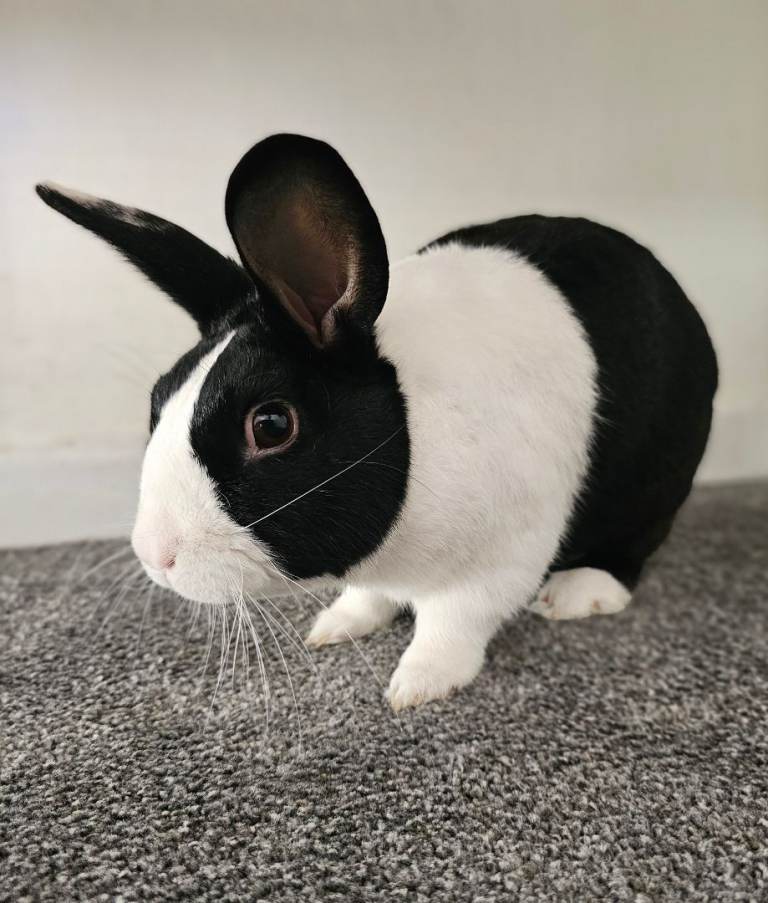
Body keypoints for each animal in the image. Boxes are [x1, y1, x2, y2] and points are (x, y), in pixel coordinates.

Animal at [37, 133, 718, 710]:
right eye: (158, 398)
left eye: (271, 425)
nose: (155, 557)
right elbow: (370, 597)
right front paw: (337, 626)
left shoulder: (505, 554)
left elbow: (453, 621)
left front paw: (416, 686)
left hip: (655, 485)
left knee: (633, 546)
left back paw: (577, 593)